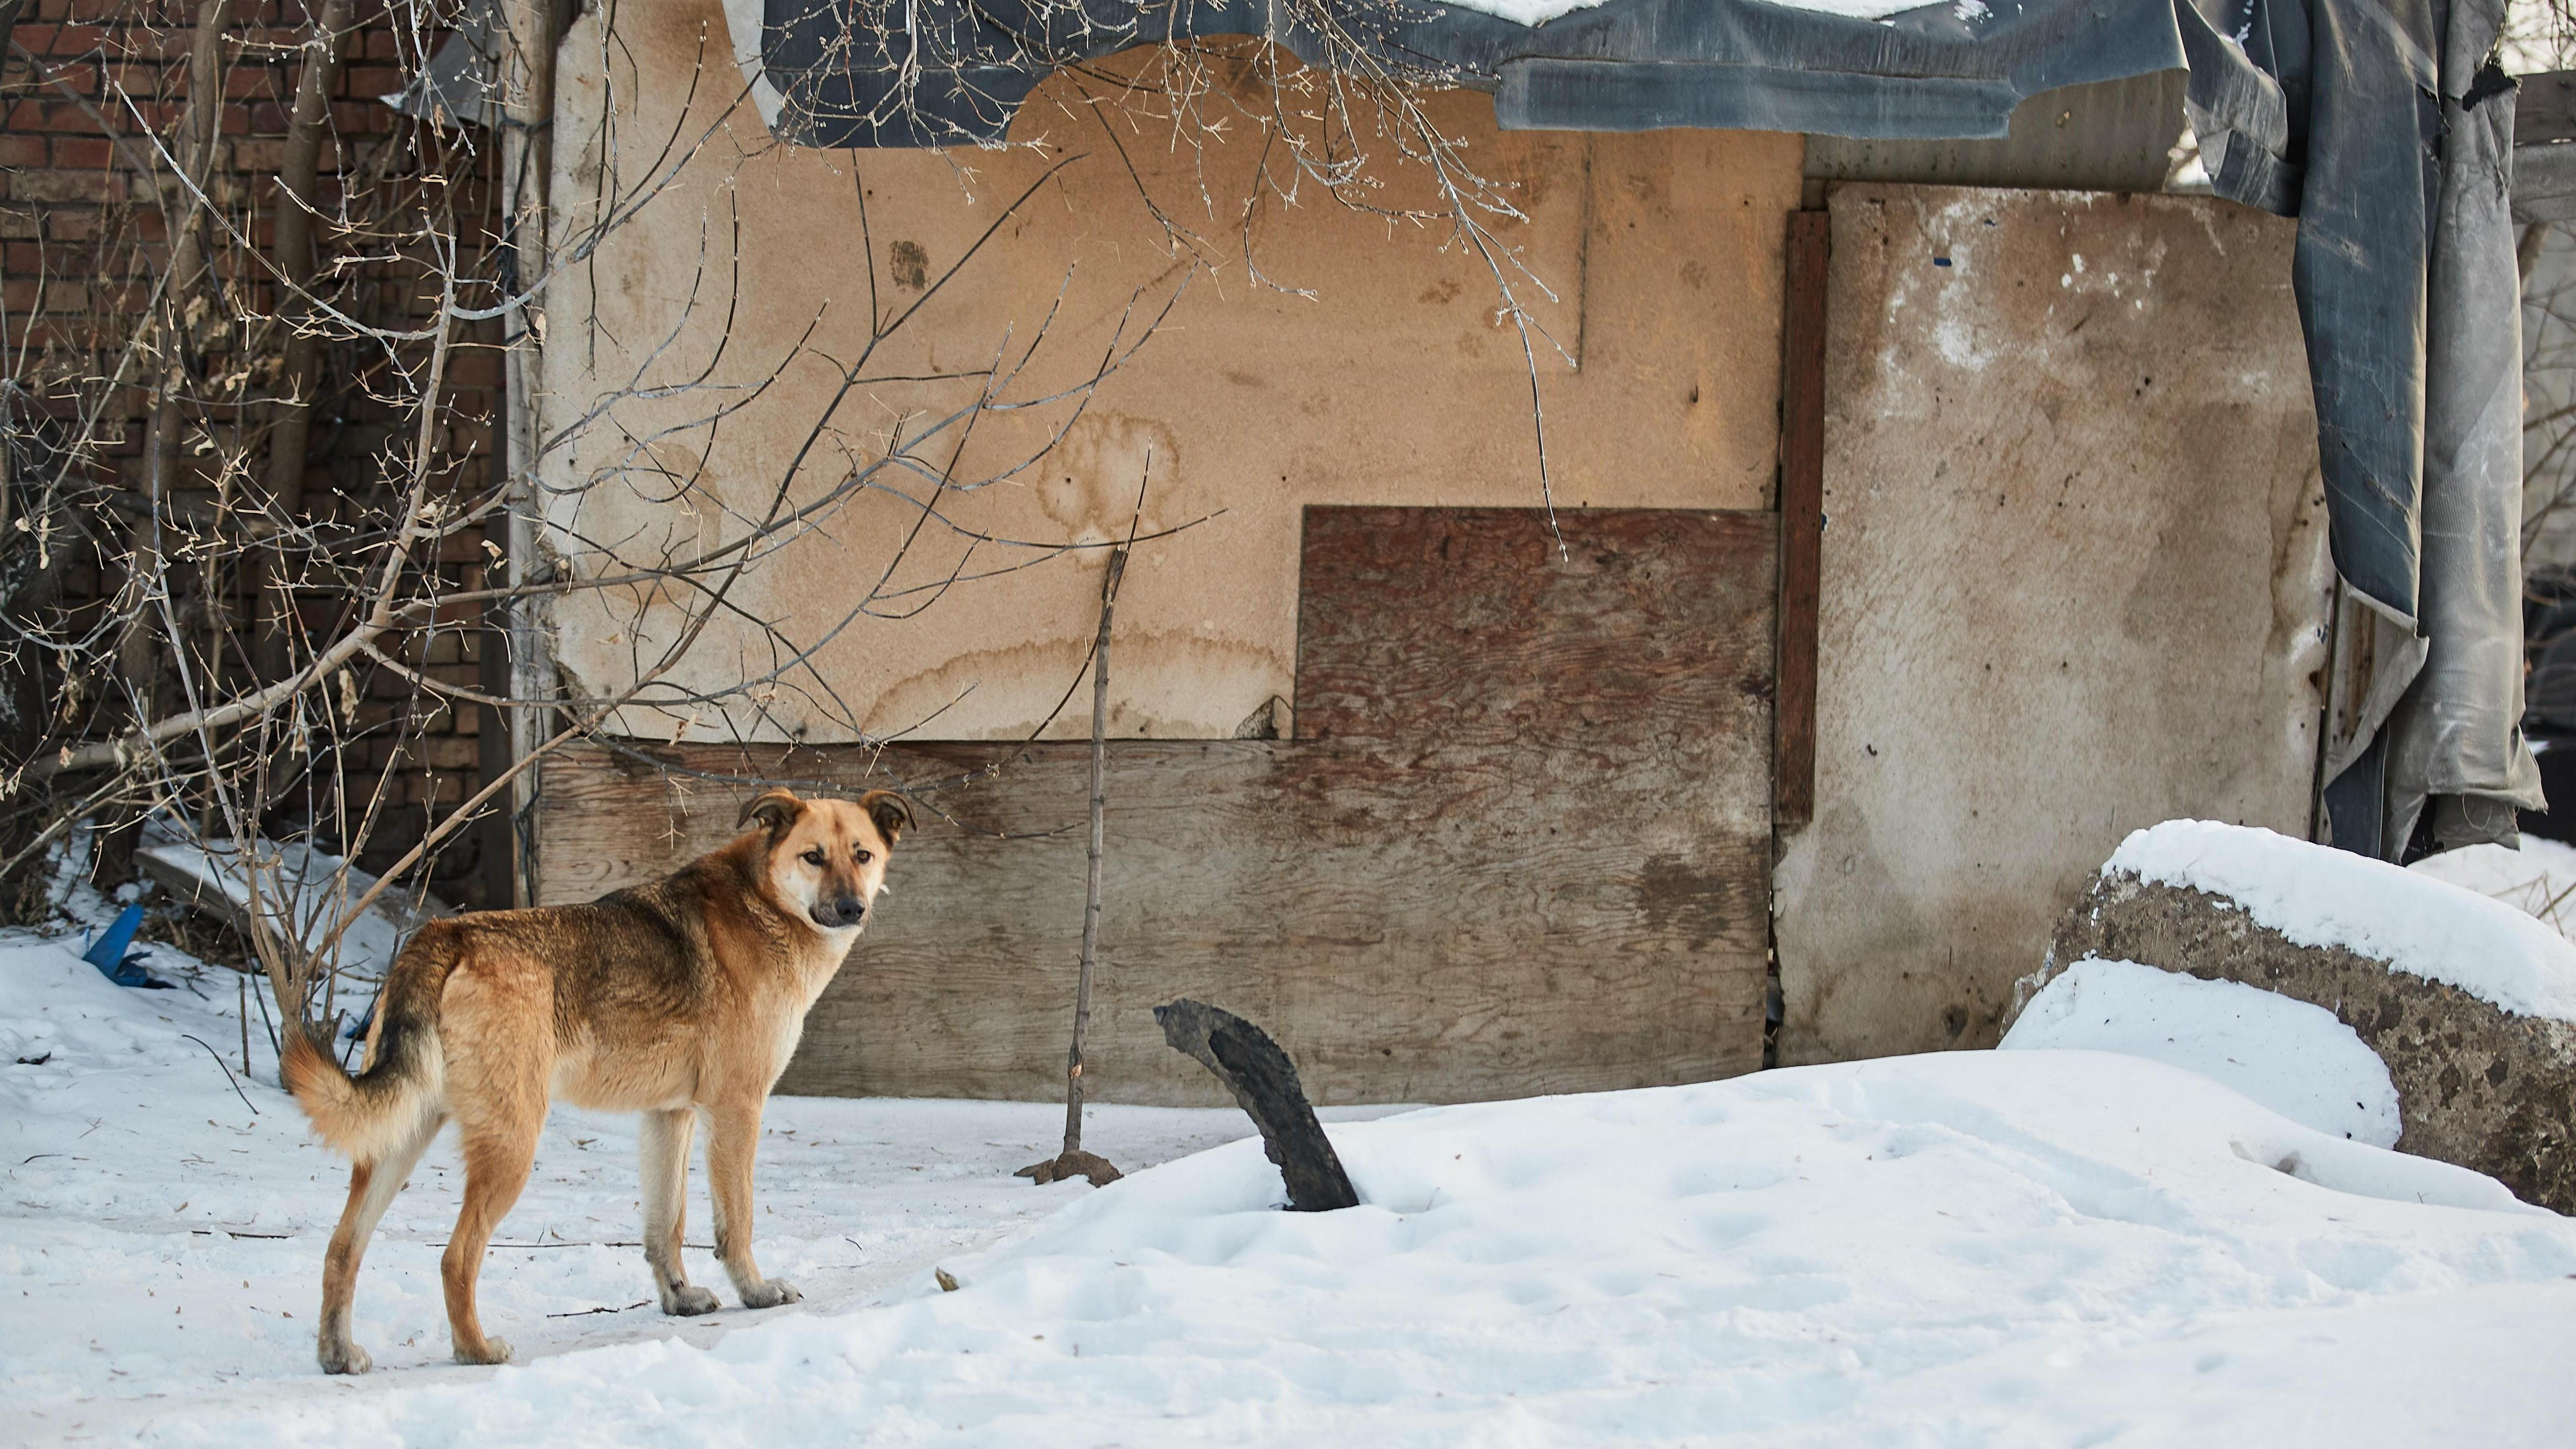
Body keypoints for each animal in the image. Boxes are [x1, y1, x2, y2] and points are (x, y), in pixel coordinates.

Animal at [279, 783, 907, 1372]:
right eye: (813, 857)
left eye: (863, 855)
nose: (851, 908)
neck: (764, 903)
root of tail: (444, 937)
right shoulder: (736, 1110)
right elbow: (737, 1221)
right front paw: (756, 1291)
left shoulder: (669, 1116)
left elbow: (666, 1227)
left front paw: (679, 1299)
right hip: (510, 1145)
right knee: (456, 1257)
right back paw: (475, 1349)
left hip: (400, 1140)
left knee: (342, 1248)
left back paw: (338, 1354)